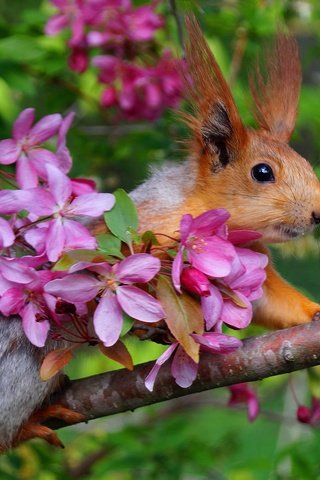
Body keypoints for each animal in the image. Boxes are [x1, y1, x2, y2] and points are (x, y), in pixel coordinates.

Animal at [0, 16, 320, 454]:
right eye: (262, 172)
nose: (317, 214)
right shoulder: (145, 232)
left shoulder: (252, 260)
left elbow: (274, 305)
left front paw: (315, 311)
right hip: (26, 356)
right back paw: (32, 423)